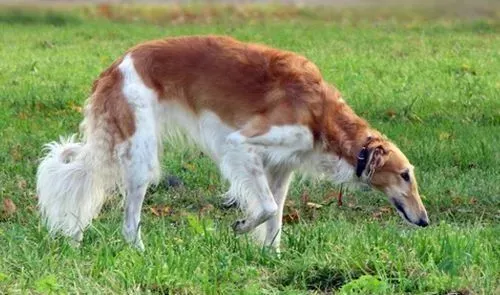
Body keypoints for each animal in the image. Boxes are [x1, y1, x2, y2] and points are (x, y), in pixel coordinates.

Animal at [37, 35, 428, 252]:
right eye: (405, 175)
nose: (425, 221)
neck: (321, 116)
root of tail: (115, 65)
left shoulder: (281, 167)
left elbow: (276, 217)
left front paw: (271, 256)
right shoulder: (240, 145)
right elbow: (266, 208)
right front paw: (241, 226)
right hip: (141, 159)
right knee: (129, 223)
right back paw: (139, 252)